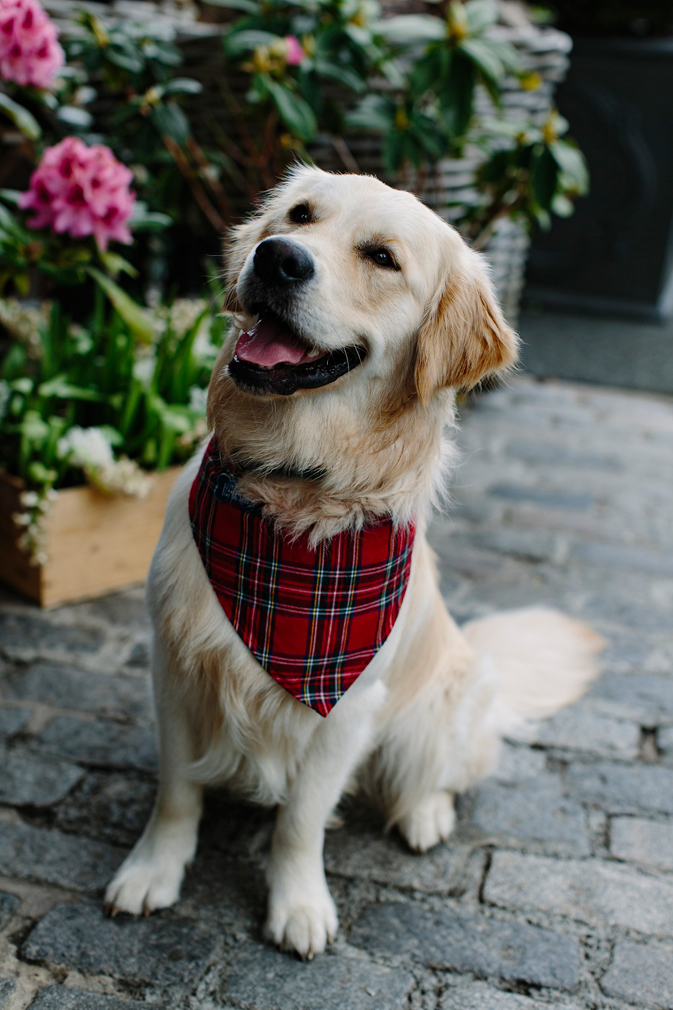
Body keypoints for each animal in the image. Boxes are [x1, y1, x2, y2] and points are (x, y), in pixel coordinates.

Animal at [106, 165, 602, 953]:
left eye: (382, 258)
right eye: (299, 216)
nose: (278, 258)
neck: (291, 490)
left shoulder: (345, 707)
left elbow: (302, 819)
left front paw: (299, 904)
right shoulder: (175, 668)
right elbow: (176, 788)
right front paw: (154, 869)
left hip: (438, 711)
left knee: (439, 775)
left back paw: (425, 814)